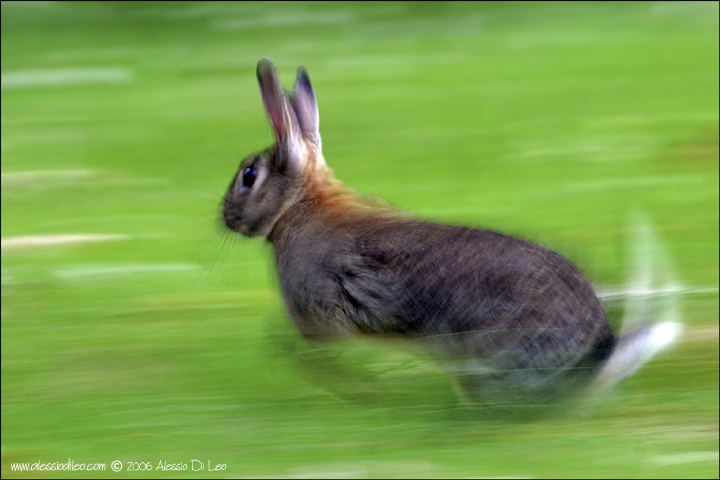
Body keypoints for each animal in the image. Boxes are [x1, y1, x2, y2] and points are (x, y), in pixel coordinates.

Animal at [222, 58, 676, 406]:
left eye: (249, 176)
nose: (224, 217)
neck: (299, 206)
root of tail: (597, 357)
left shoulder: (320, 314)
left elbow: (302, 348)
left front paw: (362, 389)